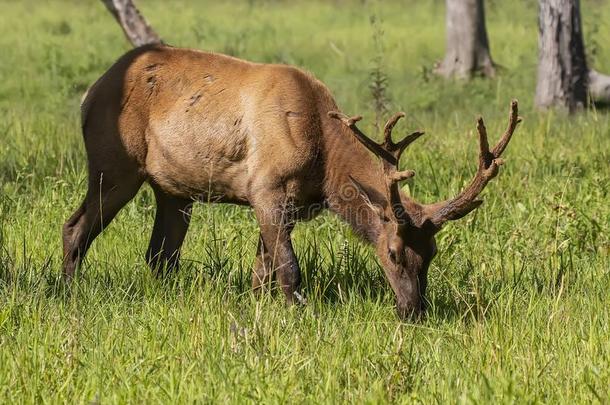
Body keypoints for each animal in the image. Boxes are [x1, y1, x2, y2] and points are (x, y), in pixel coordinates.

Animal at [63, 44, 516, 320]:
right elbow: (289, 270)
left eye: (433, 253)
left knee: (160, 254)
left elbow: (261, 271)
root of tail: (89, 95)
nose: (413, 310)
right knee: (76, 227)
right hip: (114, 164)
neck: (324, 165)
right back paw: (67, 290)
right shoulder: (265, 187)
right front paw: (297, 316)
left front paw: (258, 310)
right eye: (393, 251)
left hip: (172, 189)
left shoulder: (292, 203)